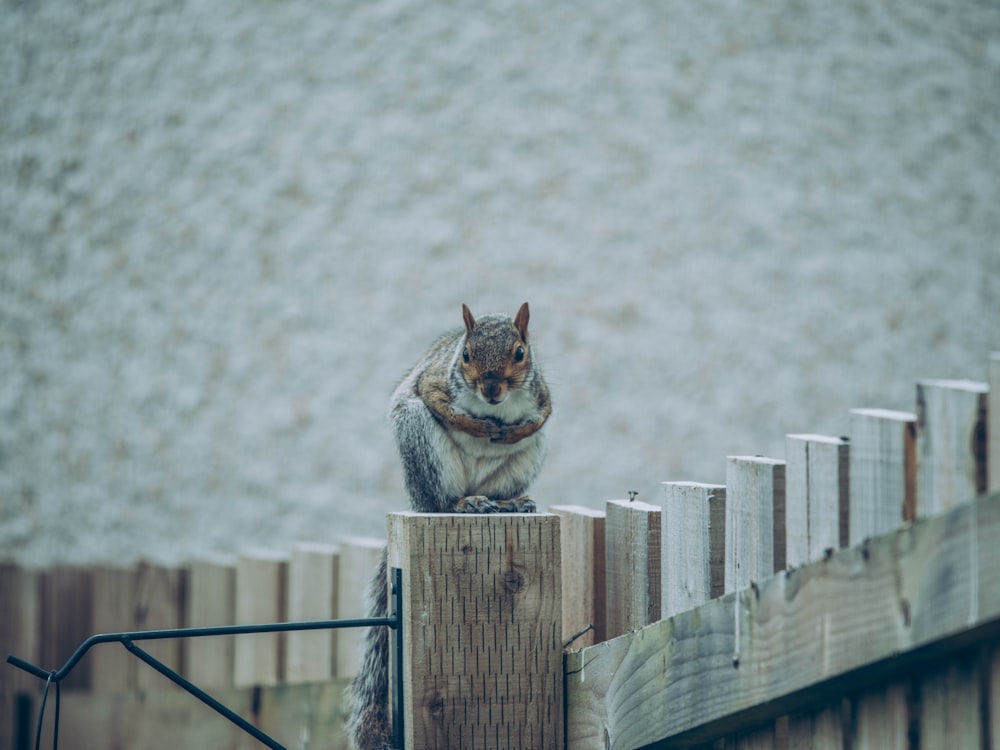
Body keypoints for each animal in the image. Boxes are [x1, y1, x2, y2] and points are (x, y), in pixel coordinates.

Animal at [346, 302, 552, 748]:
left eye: (520, 353)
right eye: (467, 355)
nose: (491, 390)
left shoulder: (541, 390)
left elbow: (544, 413)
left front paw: (520, 427)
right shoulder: (436, 379)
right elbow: (435, 397)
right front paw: (479, 426)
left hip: (523, 463)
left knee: (503, 487)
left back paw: (508, 503)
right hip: (421, 441)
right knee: (441, 499)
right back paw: (465, 502)